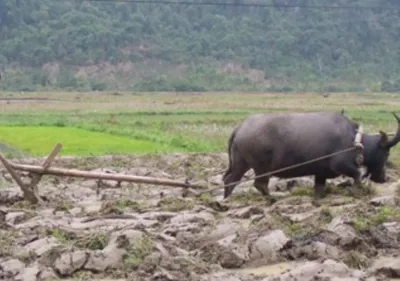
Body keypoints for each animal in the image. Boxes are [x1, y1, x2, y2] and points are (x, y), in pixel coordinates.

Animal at [223, 110, 398, 199]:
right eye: (387, 152)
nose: (383, 178)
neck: (354, 140)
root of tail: (241, 128)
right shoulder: (340, 165)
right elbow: (357, 174)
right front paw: (356, 191)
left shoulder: (321, 173)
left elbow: (319, 189)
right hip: (262, 167)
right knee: (258, 184)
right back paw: (271, 199)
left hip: (241, 163)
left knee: (230, 180)